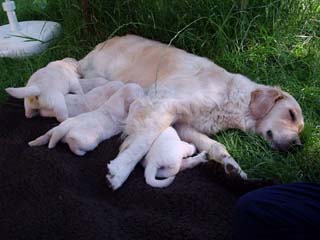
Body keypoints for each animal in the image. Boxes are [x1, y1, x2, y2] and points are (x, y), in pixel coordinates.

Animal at [78, 34, 304, 190]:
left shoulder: (183, 124)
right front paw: (119, 171)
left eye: (300, 128)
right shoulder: (163, 104)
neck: (232, 96)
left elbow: (216, 145)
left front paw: (232, 166)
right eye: (291, 114)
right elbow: (142, 143)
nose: (298, 146)